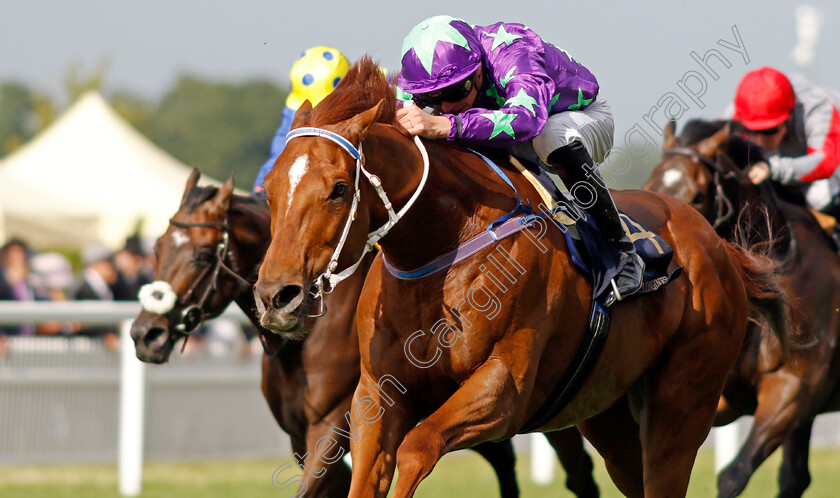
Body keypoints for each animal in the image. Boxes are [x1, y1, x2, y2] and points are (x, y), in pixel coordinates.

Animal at [126, 169, 596, 496]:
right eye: (157, 248)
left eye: (204, 255)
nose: (146, 334)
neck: (307, 336)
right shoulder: (302, 435)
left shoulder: (334, 424)